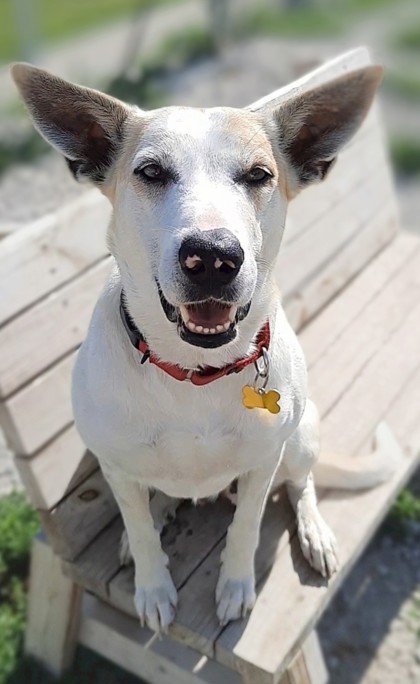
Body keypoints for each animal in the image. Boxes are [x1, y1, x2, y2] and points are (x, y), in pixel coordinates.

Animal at [12, 56, 388, 632]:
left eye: (258, 175)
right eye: (151, 172)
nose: (212, 256)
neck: (194, 371)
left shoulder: (264, 461)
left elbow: (247, 527)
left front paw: (235, 586)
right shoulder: (115, 466)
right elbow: (140, 528)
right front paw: (152, 586)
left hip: (302, 435)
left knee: (301, 484)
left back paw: (314, 531)